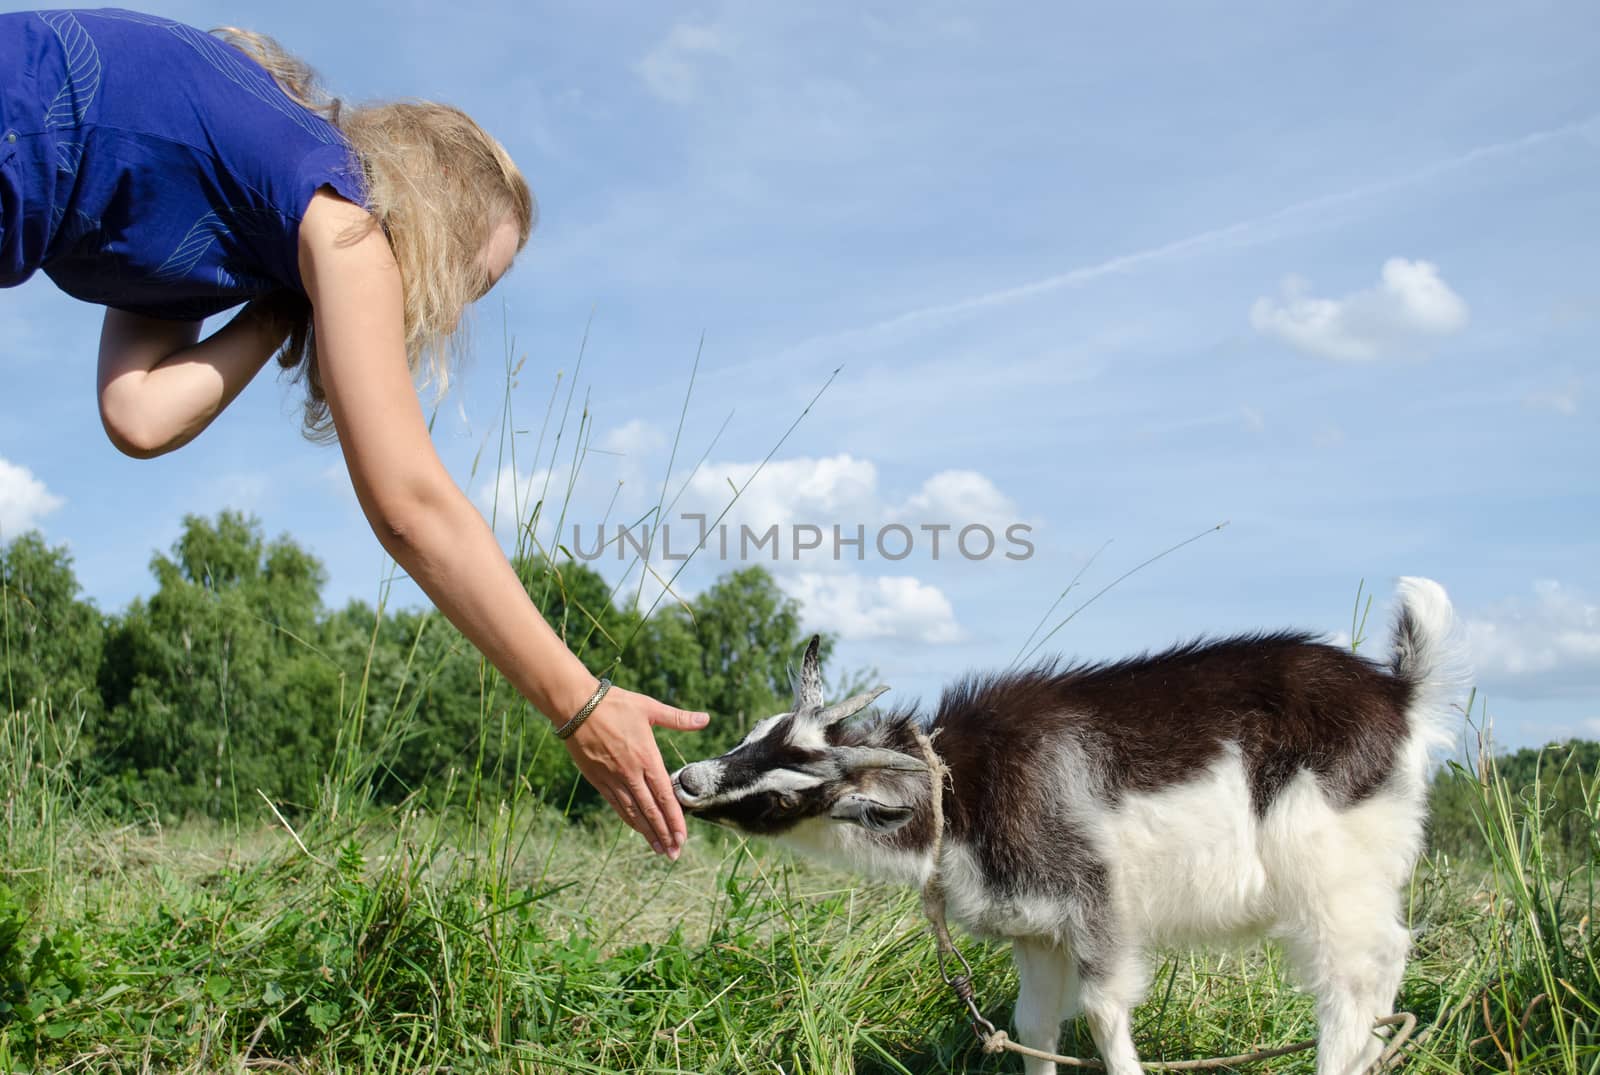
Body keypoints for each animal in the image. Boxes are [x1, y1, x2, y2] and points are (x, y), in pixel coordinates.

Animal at [668, 579, 1465, 1075]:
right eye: (757, 732)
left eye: (782, 799)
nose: (687, 781)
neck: (962, 786)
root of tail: (1400, 691)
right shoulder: (1037, 931)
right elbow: (1034, 1029)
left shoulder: (1095, 903)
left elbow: (1106, 1018)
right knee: (1383, 964)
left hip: (1330, 868)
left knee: (1350, 981)